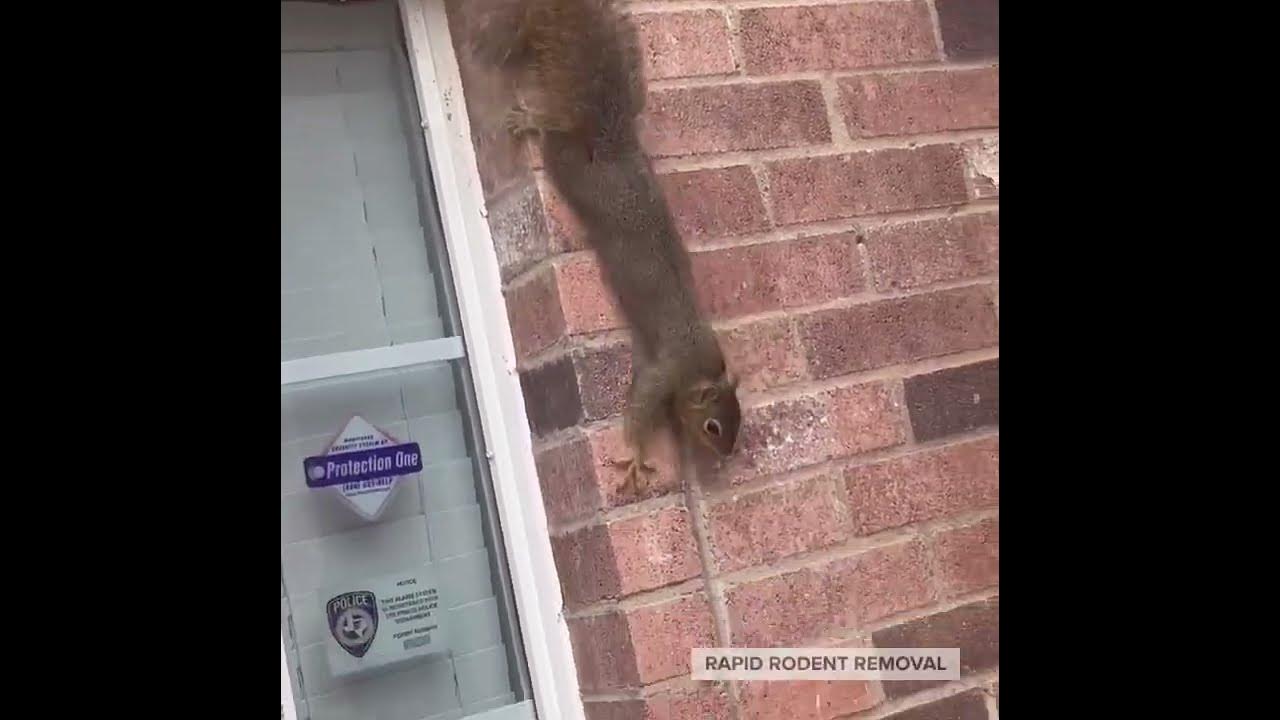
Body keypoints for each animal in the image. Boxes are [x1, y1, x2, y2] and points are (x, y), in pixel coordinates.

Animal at [471, 0, 742, 495]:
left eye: (739, 421)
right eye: (712, 426)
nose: (727, 453)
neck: (698, 369)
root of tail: (614, 141)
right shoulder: (661, 374)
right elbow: (638, 410)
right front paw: (635, 459)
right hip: (577, 172)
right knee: (558, 144)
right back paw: (534, 122)